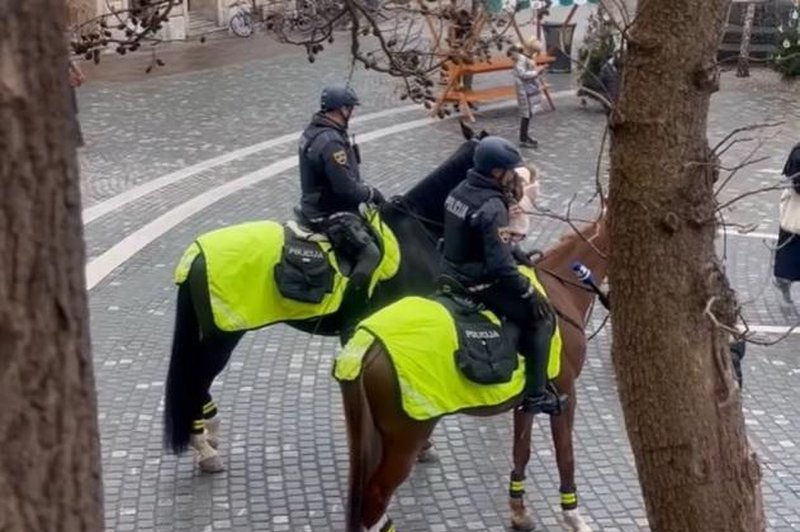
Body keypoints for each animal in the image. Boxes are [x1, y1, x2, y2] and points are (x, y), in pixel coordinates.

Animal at [162, 122, 488, 472]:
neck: (414, 234)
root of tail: (196, 252)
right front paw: (419, 447)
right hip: (221, 337)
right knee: (195, 382)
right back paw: (205, 449)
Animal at [336, 215, 608, 532]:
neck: (560, 289)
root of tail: (368, 341)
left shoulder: (527, 400)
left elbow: (521, 450)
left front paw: (518, 511)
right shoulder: (566, 392)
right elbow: (566, 456)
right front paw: (572, 516)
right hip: (404, 440)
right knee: (375, 499)